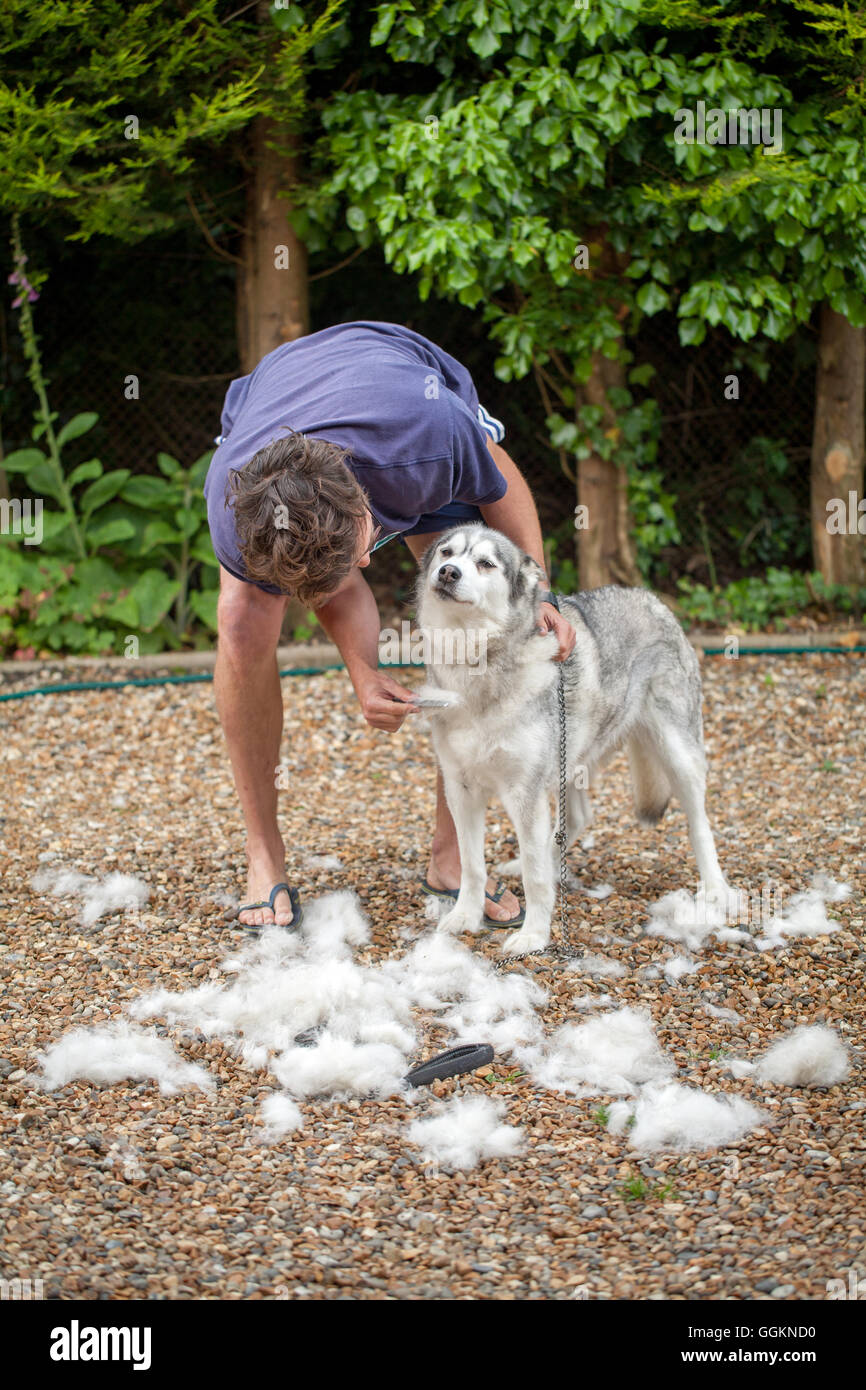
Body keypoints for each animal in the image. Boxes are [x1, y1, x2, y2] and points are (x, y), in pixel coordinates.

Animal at [417, 522, 728, 956]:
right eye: (446, 553)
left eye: (485, 563)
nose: (448, 572)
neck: (478, 665)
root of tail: (649, 596)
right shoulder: (460, 790)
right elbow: (471, 866)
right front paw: (465, 916)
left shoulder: (525, 792)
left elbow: (534, 878)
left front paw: (533, 934)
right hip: (570, 760)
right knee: (577, 819)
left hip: (678, 755)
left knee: (699, 822)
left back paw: (715, 887)